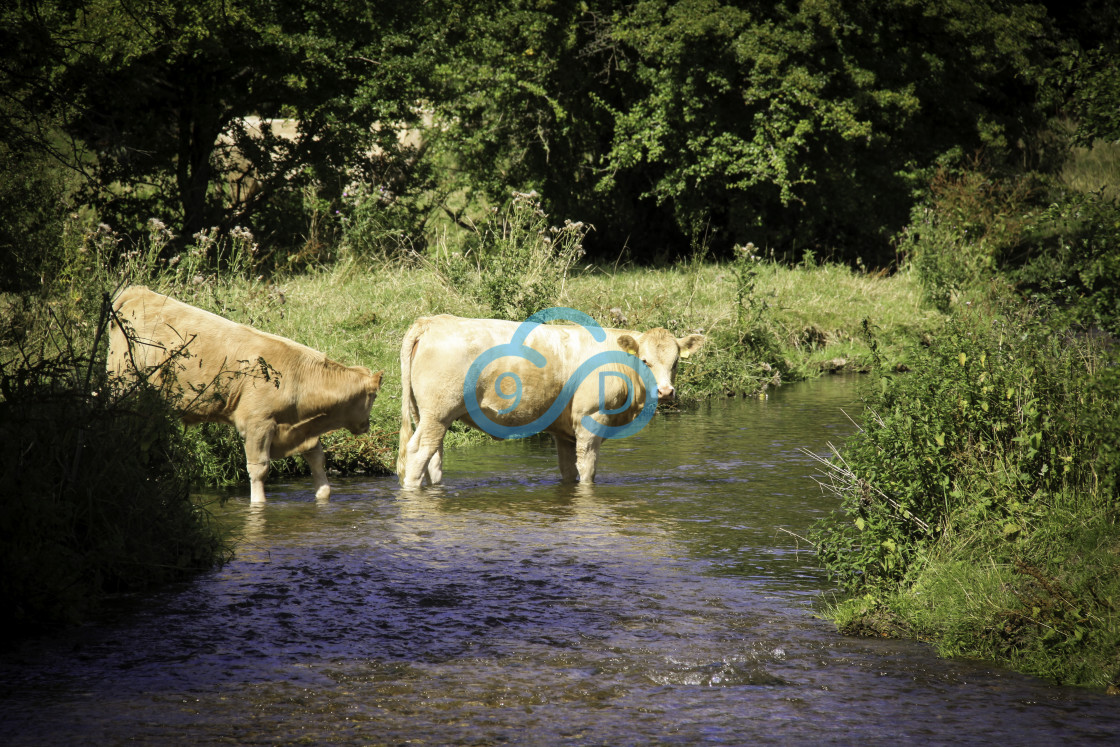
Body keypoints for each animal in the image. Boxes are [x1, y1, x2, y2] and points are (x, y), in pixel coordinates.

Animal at [106, 286, 383, 501]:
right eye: (374, 397)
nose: (367, 425)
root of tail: (138, 291)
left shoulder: (301, 429)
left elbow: (317, 459)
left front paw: (323, 495)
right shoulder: (257, 423)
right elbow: (258, 469)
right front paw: (258, 504)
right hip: (121, 379)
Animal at [398, 311, 703, 490]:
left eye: (676, 362)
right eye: (645, 360)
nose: (665, 392)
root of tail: (432, 321)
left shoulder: (565, 431)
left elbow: (569, 471)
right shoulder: (590, 419)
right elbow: (587, 470)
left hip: (429, 414)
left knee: (434, 456)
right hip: (438, 412)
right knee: (417, 453)